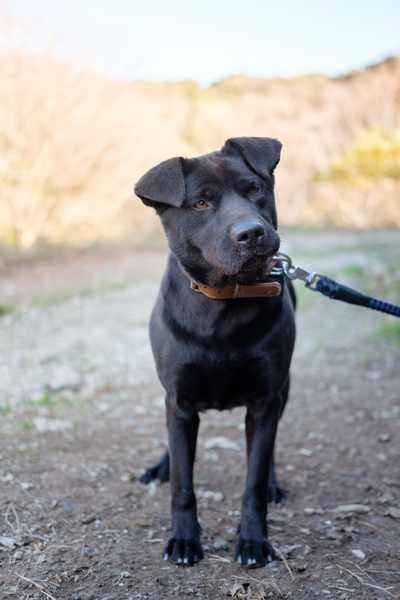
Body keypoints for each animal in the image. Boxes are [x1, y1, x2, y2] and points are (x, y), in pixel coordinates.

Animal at [134, 137, 296, 567]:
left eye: (254, 189)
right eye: (201, 204)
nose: (252, 233)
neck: (226, 297)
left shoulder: (264, 399)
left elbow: (254, 478)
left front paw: (254, 540)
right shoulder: (179, 400)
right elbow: (183, 484)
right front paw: (184, 540)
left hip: (284, 390)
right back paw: (161, 467)